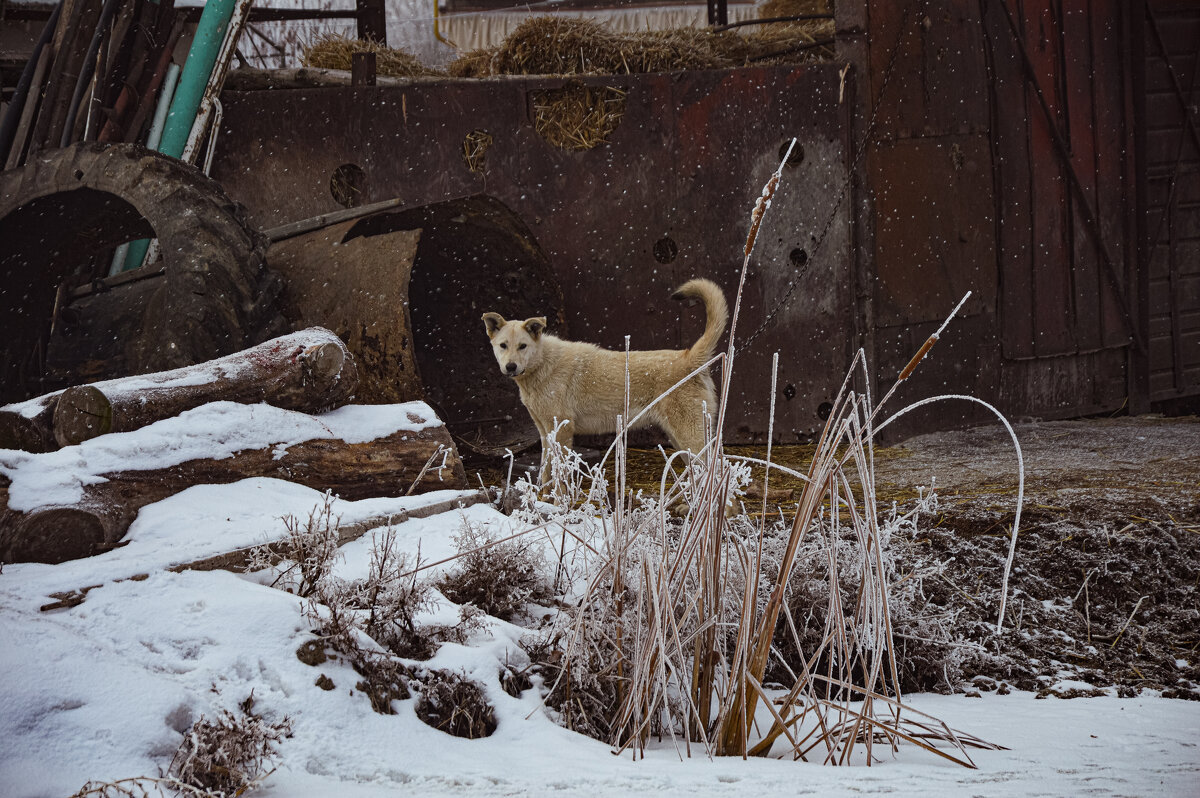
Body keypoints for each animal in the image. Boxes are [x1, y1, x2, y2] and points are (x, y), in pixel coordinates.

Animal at [480, 277, 724, 482]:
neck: (542, 365)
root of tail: (689, 357)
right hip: (679, 440)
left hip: (690, 437)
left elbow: (559, 480)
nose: (511, 367)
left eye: (522, 346)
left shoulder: (563, 430)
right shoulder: (545, 432)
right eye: (503, 346)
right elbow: (546, 474)